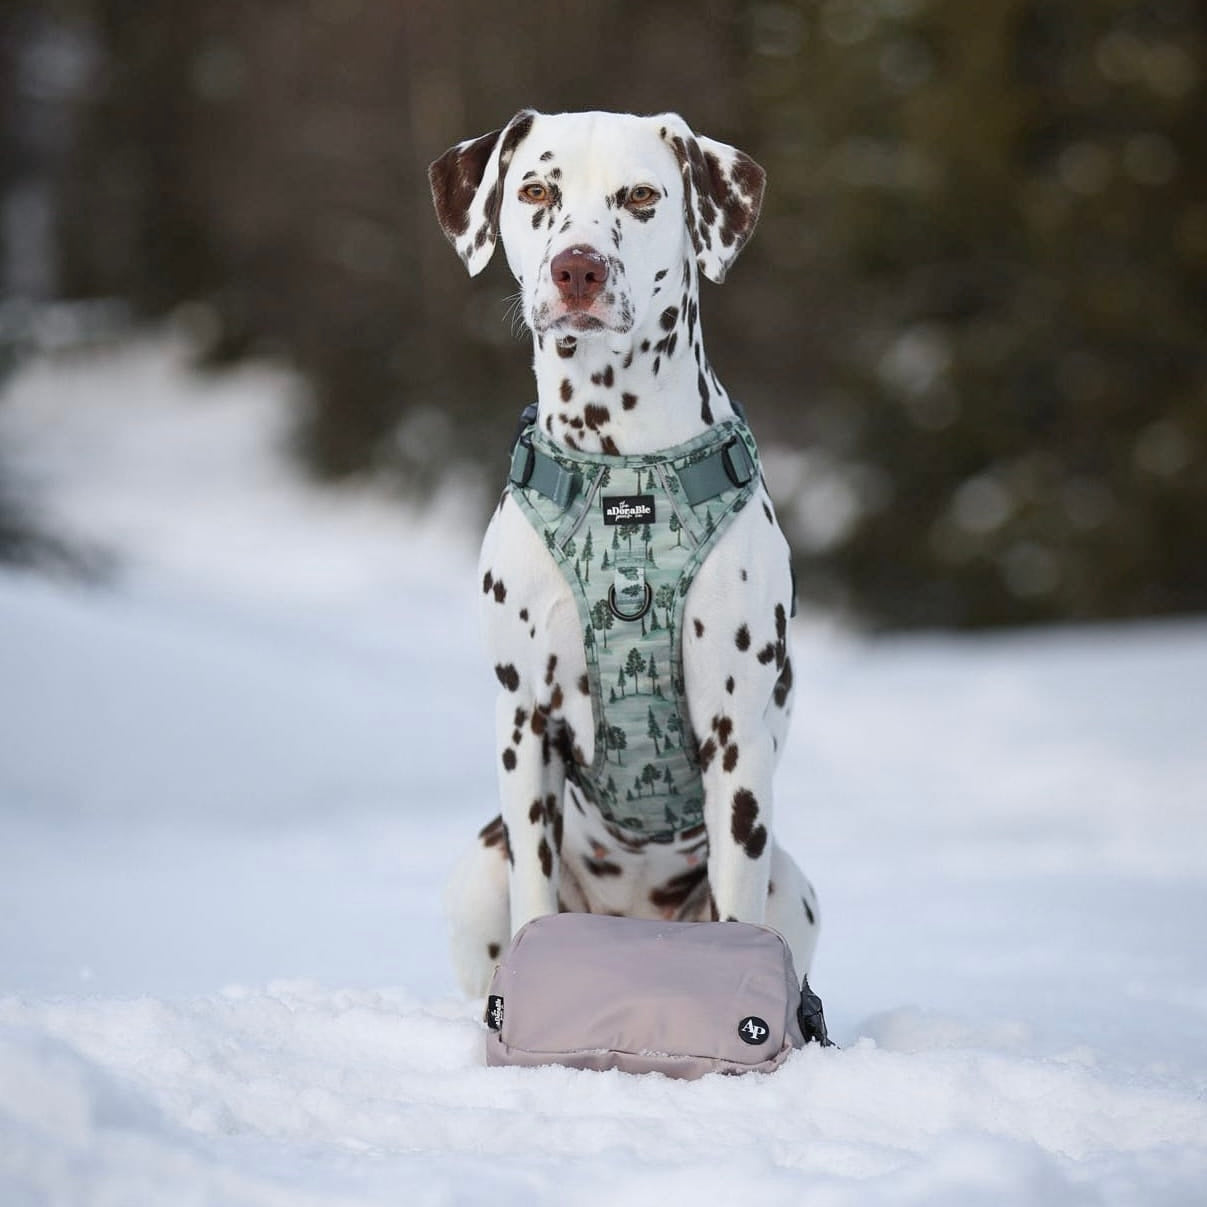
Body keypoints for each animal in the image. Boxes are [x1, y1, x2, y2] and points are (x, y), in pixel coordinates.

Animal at [432, 111, 820, 999]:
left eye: (641, 196)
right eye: (535, 189)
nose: (577, 268)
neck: (622, 472)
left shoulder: (736, 736)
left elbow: (735, 908)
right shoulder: (525, 722)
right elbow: (534, 896)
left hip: (795, 888)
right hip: (477, 871)